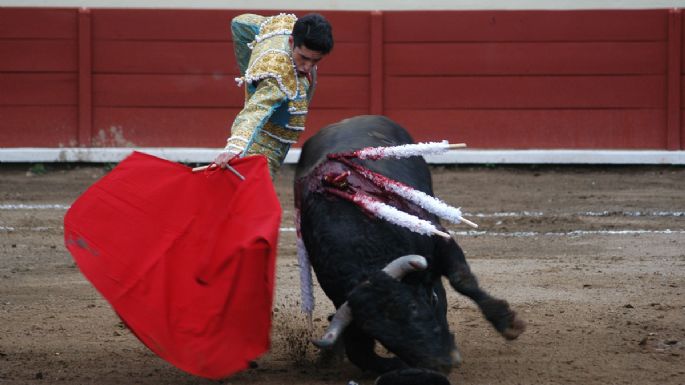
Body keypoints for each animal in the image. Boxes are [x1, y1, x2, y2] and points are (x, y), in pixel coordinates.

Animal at [294, 114, 524, 380]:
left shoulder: (441, 241)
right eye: (378, 333)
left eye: (413, 308)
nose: (442, 364)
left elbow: (461, 279)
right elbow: (361, 353)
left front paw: (508, 323)